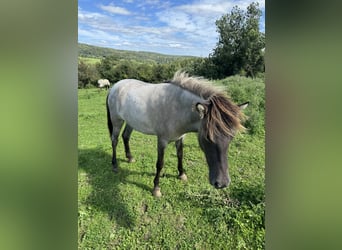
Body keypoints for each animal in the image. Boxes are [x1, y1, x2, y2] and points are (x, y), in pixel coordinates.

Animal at [105, 71, 247, 197]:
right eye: (207, 137)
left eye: (231, 137)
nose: (222, 183)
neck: (177, 107)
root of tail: (115, 86)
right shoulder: (162, 140)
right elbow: (160, 163)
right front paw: (156, 188)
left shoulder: (180, 138)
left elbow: (180, 155)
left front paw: (181, 174)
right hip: (117, 120)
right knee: (114, 140)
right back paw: (114, 165)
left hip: (131, 121)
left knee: (125, 136)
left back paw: (129, 157)